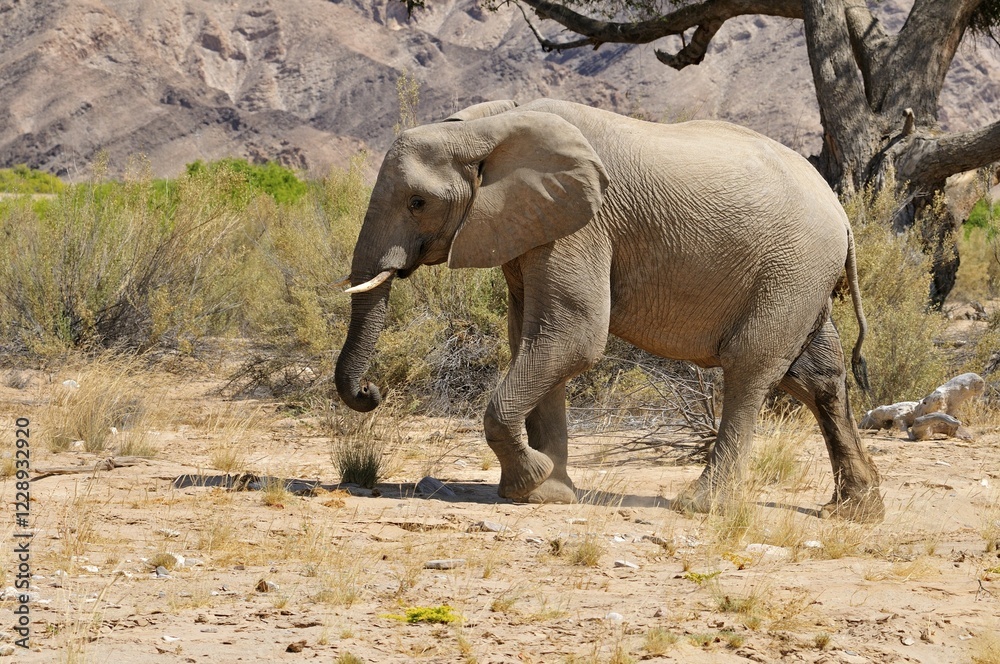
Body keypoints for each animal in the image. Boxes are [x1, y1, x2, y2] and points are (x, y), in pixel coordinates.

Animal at [335, 98, 884, 522]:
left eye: (417, 202)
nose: (371, 391)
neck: (488, 125)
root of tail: (844, 218)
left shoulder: (583, 225)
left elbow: (572, 336)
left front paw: (531, 482)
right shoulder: (532, 227)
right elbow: (533, 338)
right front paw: (547, 494)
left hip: (791, 270)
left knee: (751, 368)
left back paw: (699, 506)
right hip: (803, 279)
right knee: (818, 377)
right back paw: (855, 511)